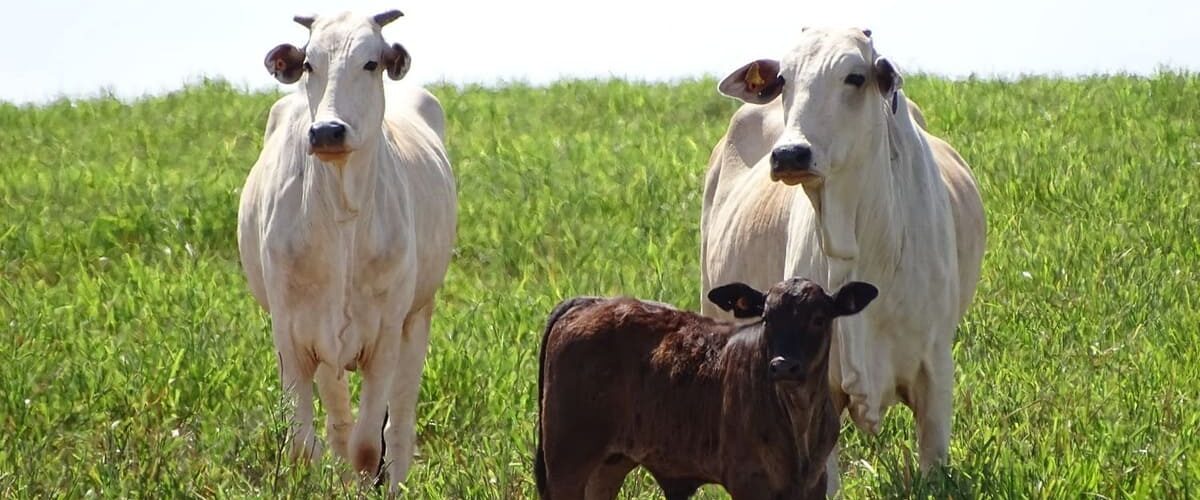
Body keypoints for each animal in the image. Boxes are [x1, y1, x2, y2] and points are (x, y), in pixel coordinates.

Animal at [236, 10, 457, 488]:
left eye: (371, 62)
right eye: (309, 64)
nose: (327, 131)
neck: (341, 213)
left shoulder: (386, 336)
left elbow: (368, 447)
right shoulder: (291, 338)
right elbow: (305, 446)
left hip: (417, 320)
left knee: (399, 427)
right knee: (338, 422)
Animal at [534, 277, 879, 499]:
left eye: (819, 318)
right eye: (767, 318)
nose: (783, 365)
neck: (799, 420)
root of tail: (591, 302)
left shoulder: (814, 485)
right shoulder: (750, 483)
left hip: (609, 464)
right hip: (567, 462)